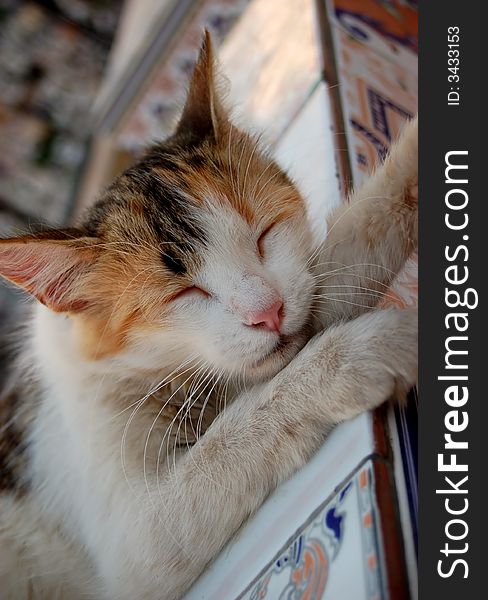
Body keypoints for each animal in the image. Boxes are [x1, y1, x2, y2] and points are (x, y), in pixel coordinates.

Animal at [0, 31, 420, 600]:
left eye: (264, 235)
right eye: (185, 294)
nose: (268, 312)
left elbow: (365, 234)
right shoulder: (137, 534)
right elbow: (236, 434)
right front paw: (371, 350)